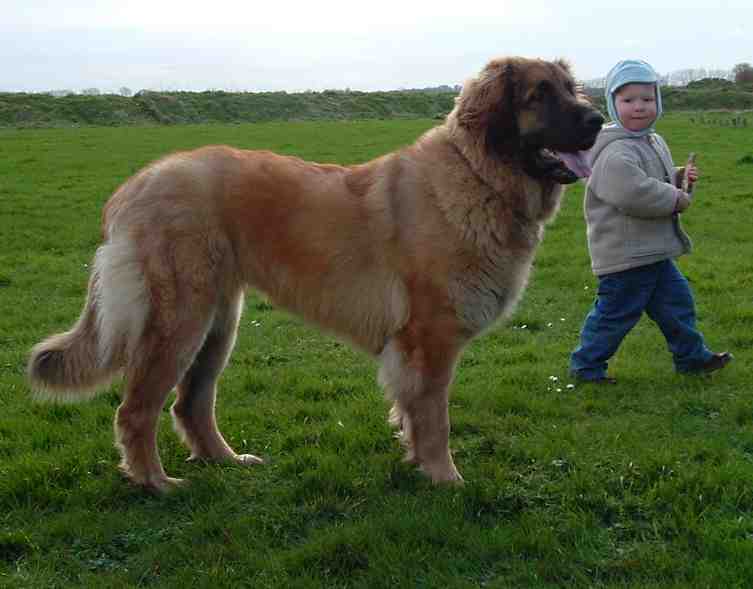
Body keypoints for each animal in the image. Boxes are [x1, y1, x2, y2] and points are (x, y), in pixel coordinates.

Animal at [28, 57, 603, 492]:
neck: (478, 177)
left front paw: (418, 464)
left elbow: (413, 416)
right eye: (539, 95)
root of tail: (136, 183)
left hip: (219, 323)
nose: (597, 119)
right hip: (179, 322)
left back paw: (226, 462)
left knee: (191, 404)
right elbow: (434, 418)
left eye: (569, 89)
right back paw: (156, 483)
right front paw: (446, 479)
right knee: (136, 410)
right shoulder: (431, 339)